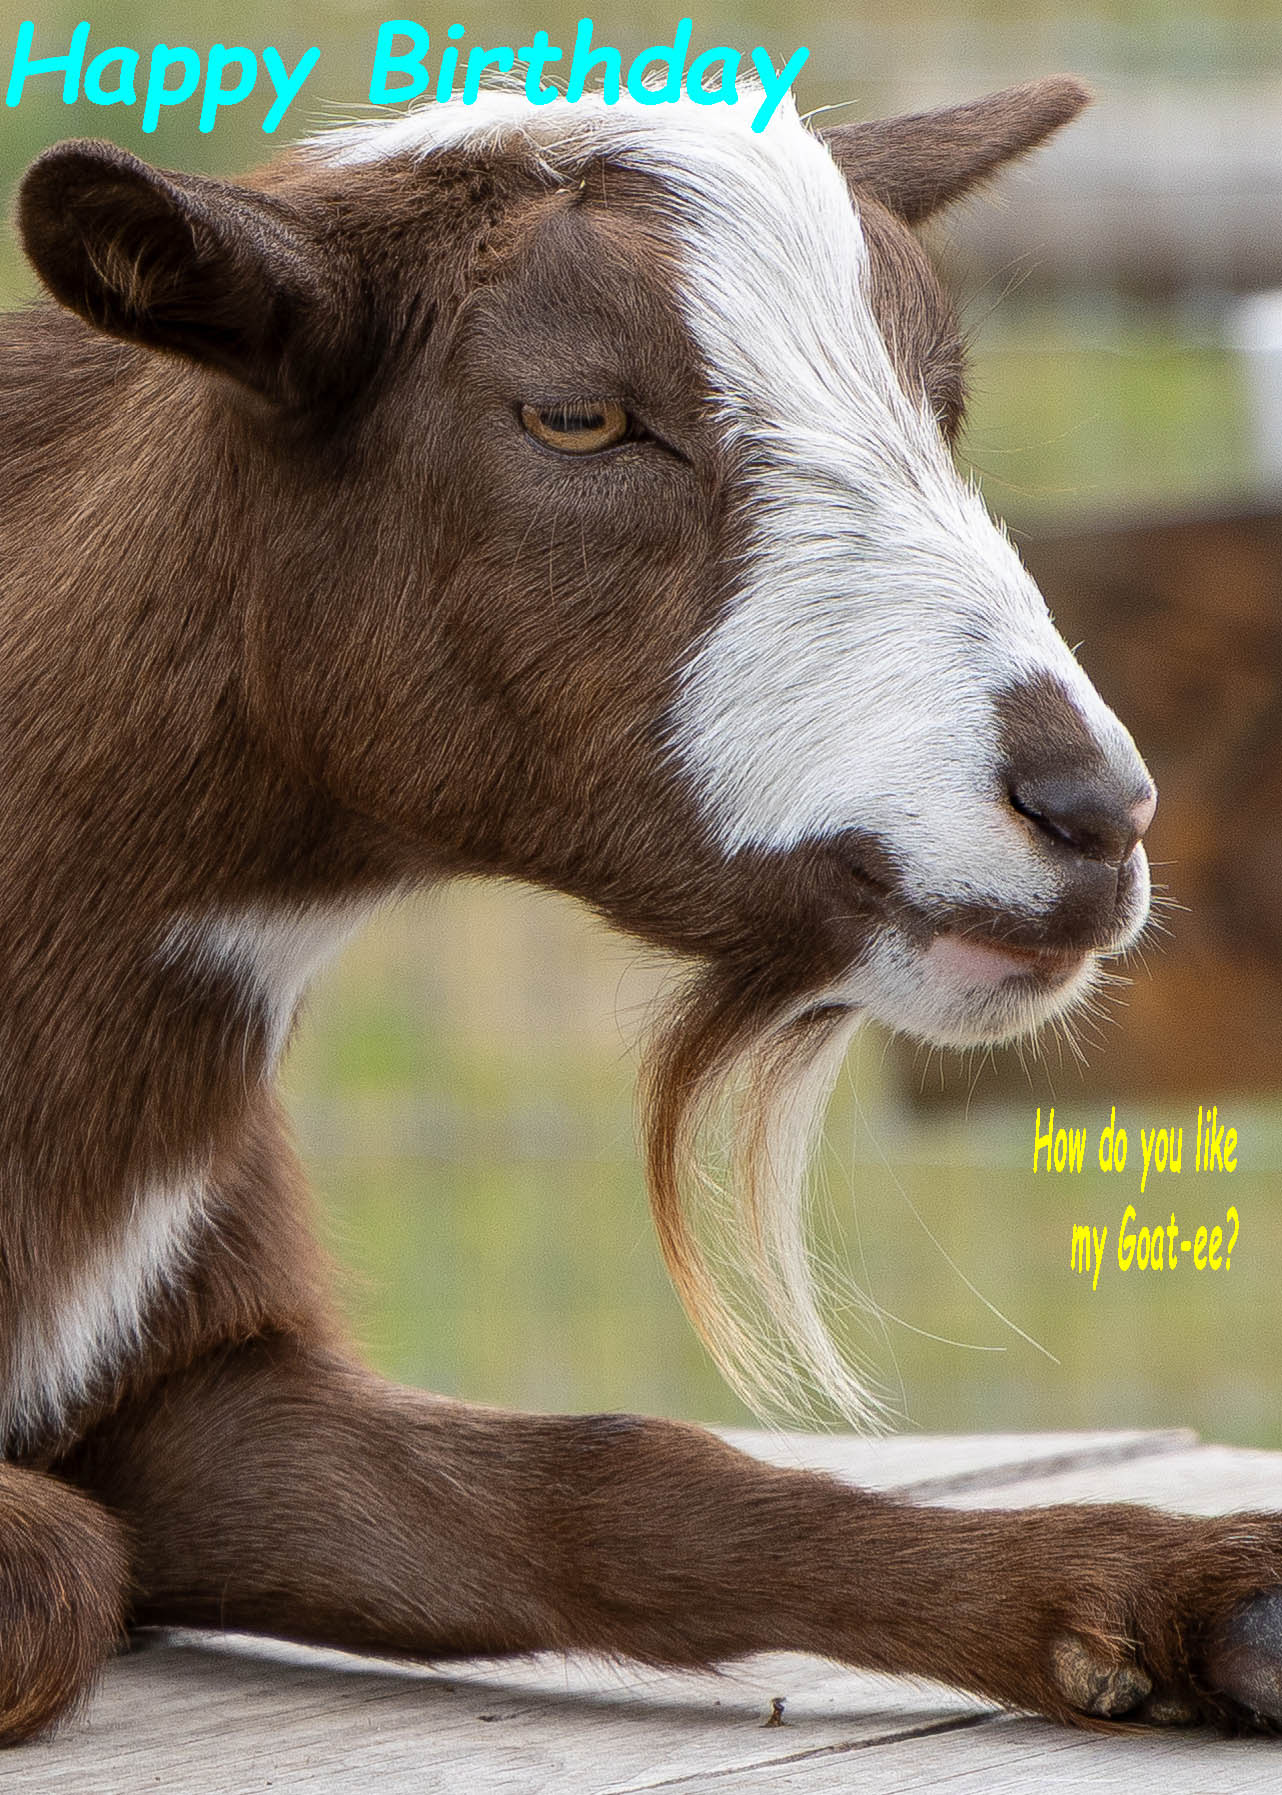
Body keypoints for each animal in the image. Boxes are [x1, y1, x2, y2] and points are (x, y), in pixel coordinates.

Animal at [2, 76, 1280, 1747]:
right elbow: (60, 1560)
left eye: (940, 404)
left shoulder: (206, 1376)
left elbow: (619, 1478)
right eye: (574, 415)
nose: (1091, 812)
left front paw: (1197, 1595)